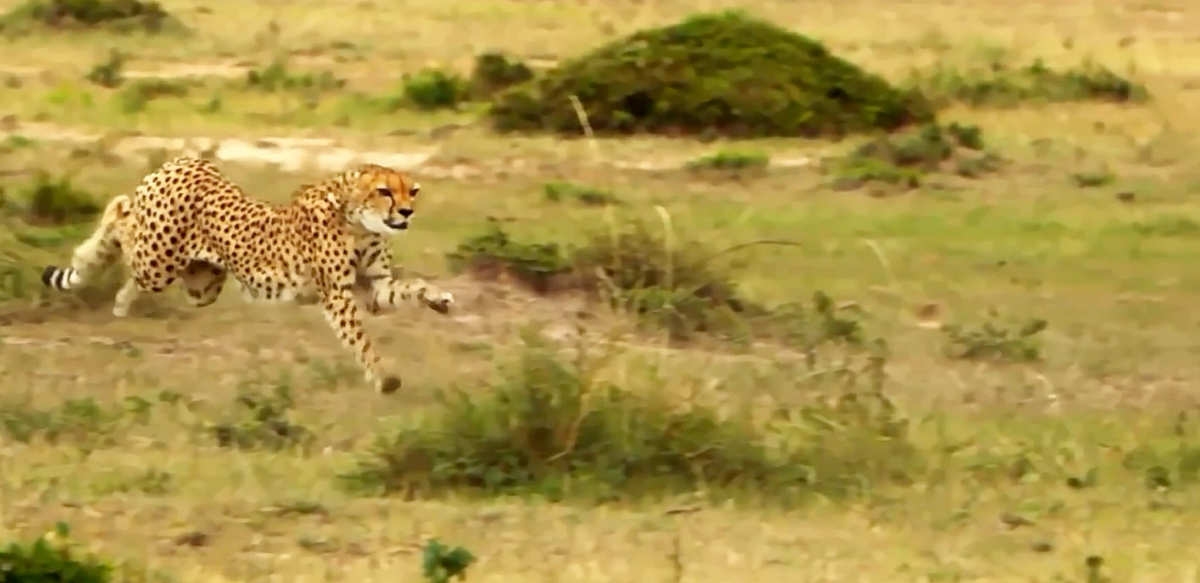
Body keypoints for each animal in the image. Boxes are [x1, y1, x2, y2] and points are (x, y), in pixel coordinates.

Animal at [40, 156, 455, 394]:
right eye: (384, 191)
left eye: (413, 191)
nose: (406, 212)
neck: (359, 219)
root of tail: (183, 162)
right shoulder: (338, 294)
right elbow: (362, 341)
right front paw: (384, 377)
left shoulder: (373, 287)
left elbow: (410, 286)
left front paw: (439, 300)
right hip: (157, 260)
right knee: (121, 213)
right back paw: (102, 274)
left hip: (202, 283)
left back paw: (122, 298)